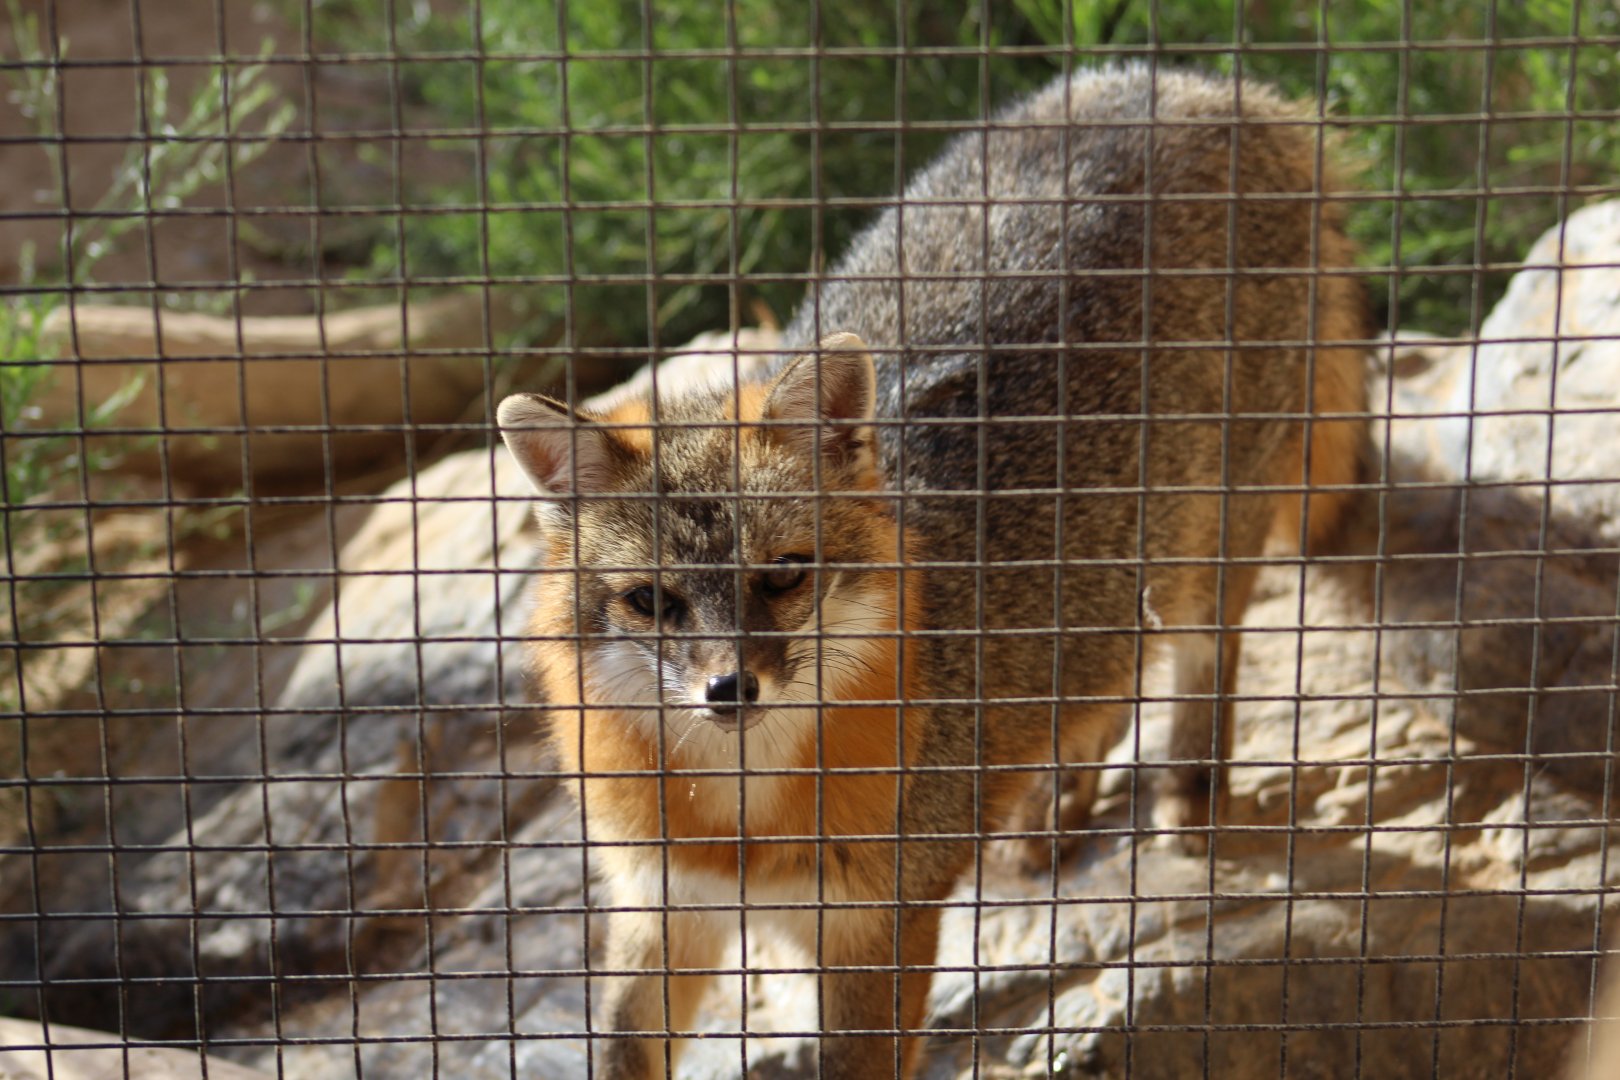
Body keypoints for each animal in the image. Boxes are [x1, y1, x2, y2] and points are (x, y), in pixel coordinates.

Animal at [498, 65, 1369, 1080]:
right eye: (650, 601)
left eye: (783, 576)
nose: (728, 688)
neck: (744, 821)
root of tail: (1202, 85)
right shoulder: (664, 909)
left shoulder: (875, 930)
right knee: (1102, 684)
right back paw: (1048, 806)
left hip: (1208, 551)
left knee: (1205, 660)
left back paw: (1186, 793)